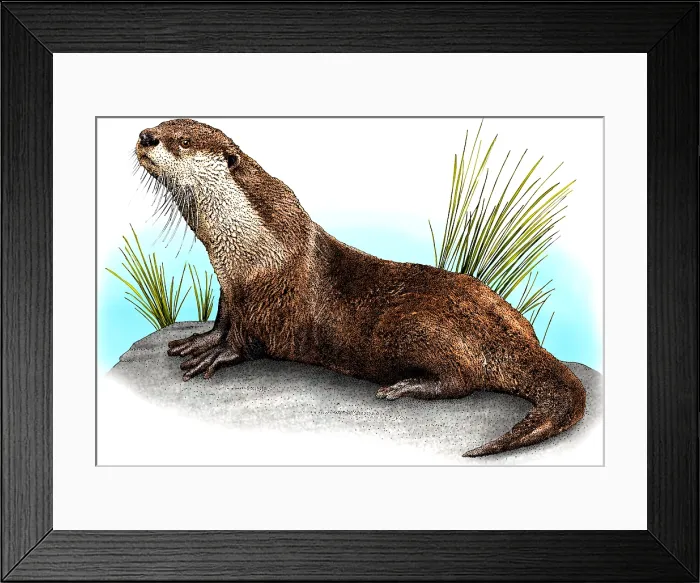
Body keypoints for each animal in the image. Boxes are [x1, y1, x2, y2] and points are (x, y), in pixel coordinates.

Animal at [134, 118, 586, 457]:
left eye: (183, 140)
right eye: (162, 125)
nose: (145, 135)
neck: (254, 245)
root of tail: (510, 334)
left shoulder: (270, 298)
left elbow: (245, 341)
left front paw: (215, 356)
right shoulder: (230, 286)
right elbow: (222, 321)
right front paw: (196, 341)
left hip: (415, 327)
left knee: (462, 381)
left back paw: (405, 387)